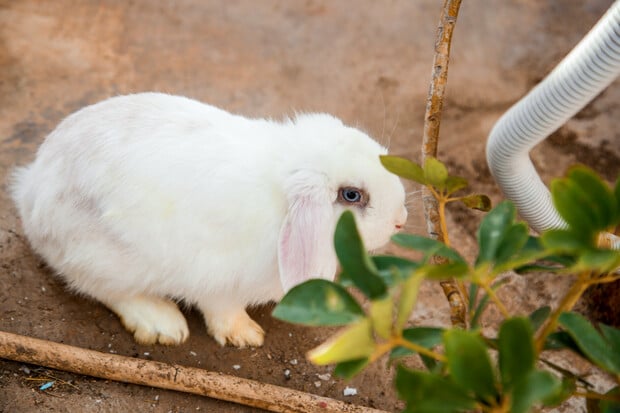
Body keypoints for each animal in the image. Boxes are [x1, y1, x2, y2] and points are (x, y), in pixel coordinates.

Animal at [10, 91, 406, 346]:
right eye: (351, 195)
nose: (401, 219)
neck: (281, 199)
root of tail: (32, 190)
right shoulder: (217, 282)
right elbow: (222, 310)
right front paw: (245, 335)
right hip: (103, 256)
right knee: (104, 289)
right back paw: (163, 324)